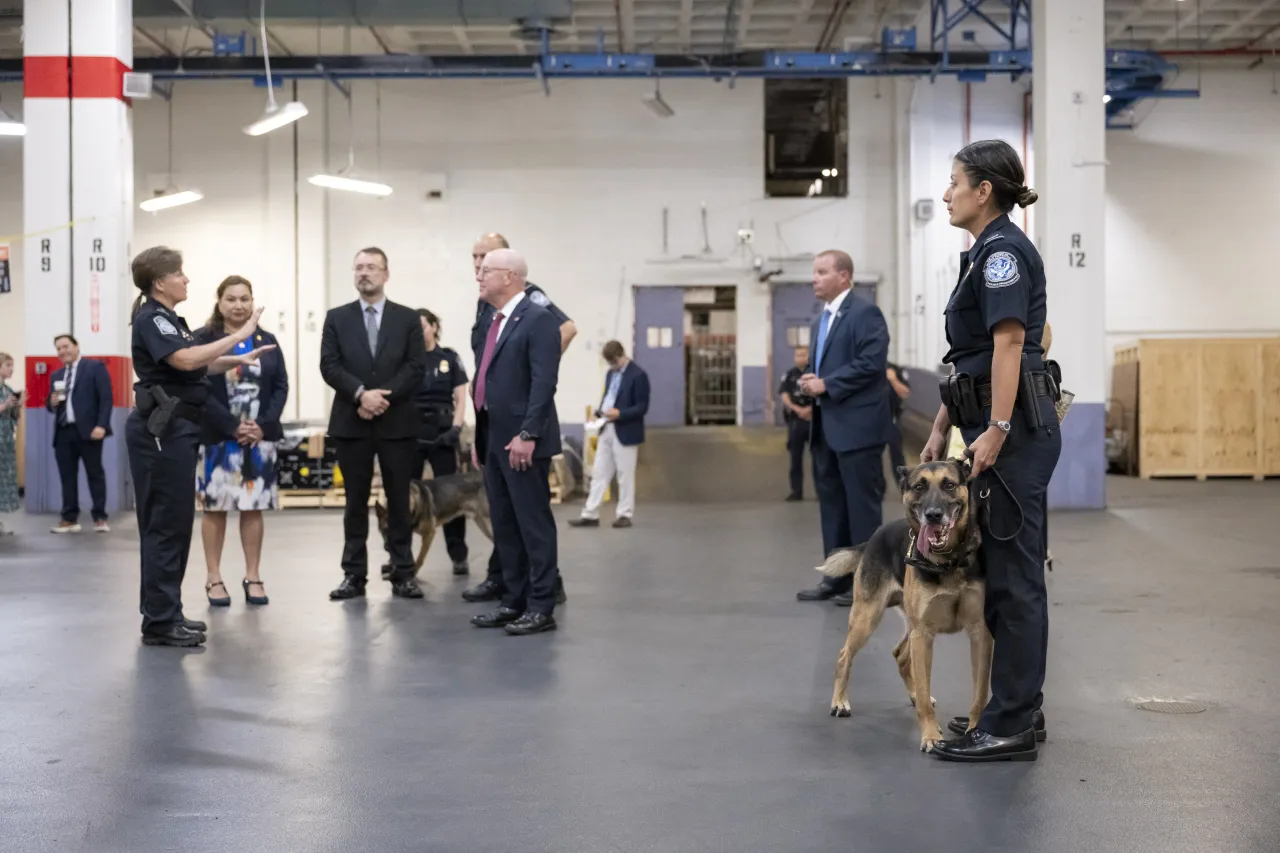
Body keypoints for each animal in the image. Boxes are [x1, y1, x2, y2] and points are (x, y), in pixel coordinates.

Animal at [819, 458, 988, 753]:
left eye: (949, 484)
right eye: (919, 487)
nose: (933, 515)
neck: (948, 561)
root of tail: (876, 535)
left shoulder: (979, 633)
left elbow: (979, 694)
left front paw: (974, 732)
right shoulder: (924, 635)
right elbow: (923, 688)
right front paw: (930, 736)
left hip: (909, 626)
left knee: (900, 655)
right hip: (869, 617)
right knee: (844, 655)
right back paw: (839, 701)